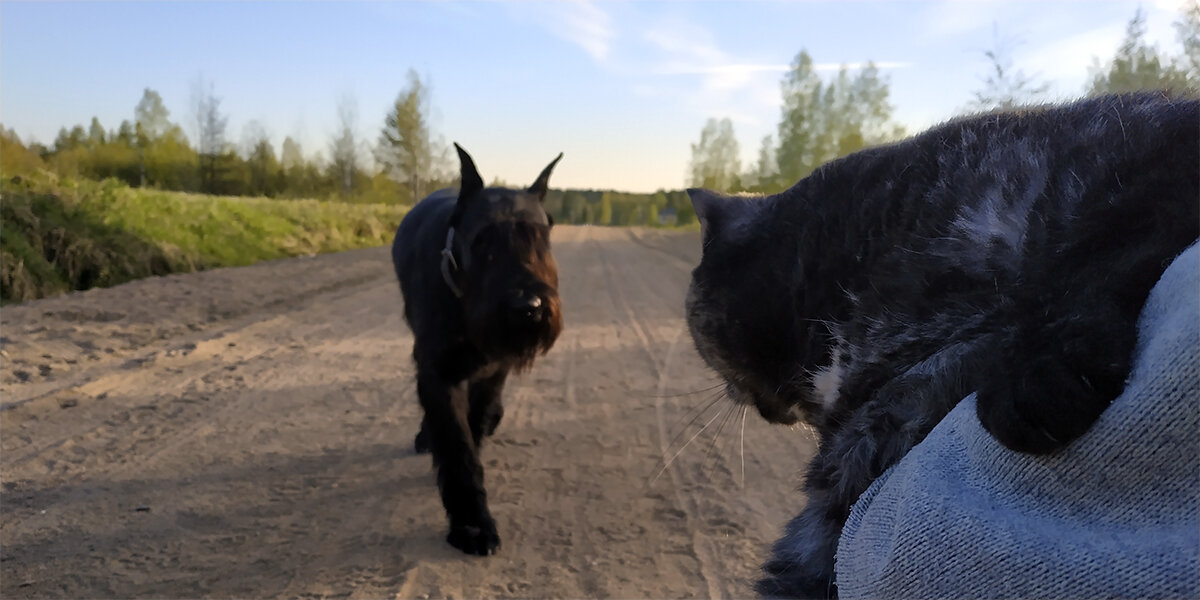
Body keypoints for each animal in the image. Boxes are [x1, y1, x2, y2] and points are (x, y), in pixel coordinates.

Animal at [391, 142, 564, 554]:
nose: (528, 307)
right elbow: (457, 445)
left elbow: (475, 421)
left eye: (540, 238)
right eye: (482, 240)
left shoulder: (493, 368)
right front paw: (472, 525)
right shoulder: (438, 371)